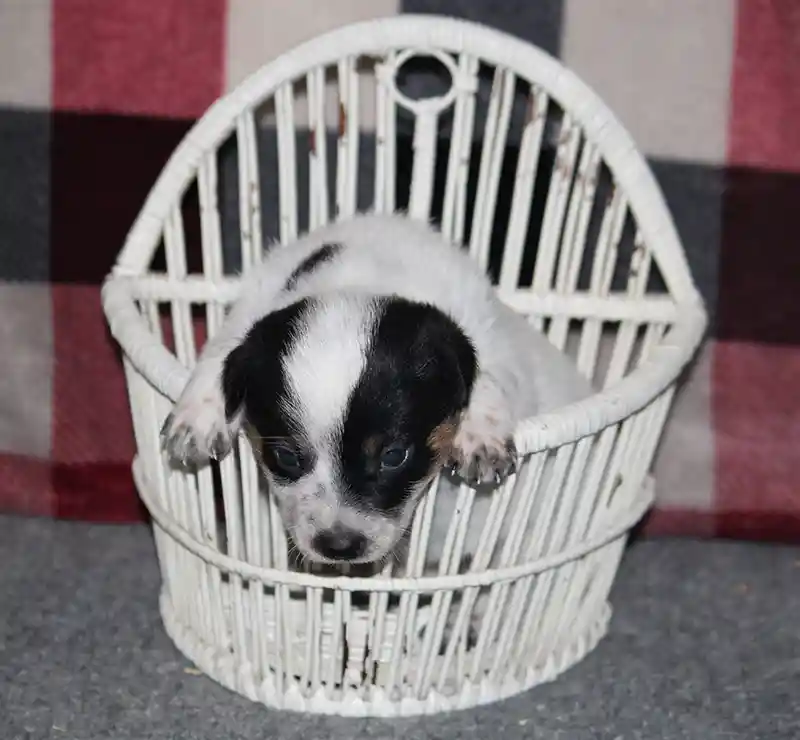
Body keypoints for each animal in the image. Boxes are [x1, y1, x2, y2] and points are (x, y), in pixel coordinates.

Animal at [159, 212, 592, 568]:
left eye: (394, 456)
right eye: (286, 457)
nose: (339, 546)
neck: (361, 281)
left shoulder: (481, 334)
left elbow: (489, 375)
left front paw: (479, 433)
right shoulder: (250, 314)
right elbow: (220, 353)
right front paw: (195, 417)